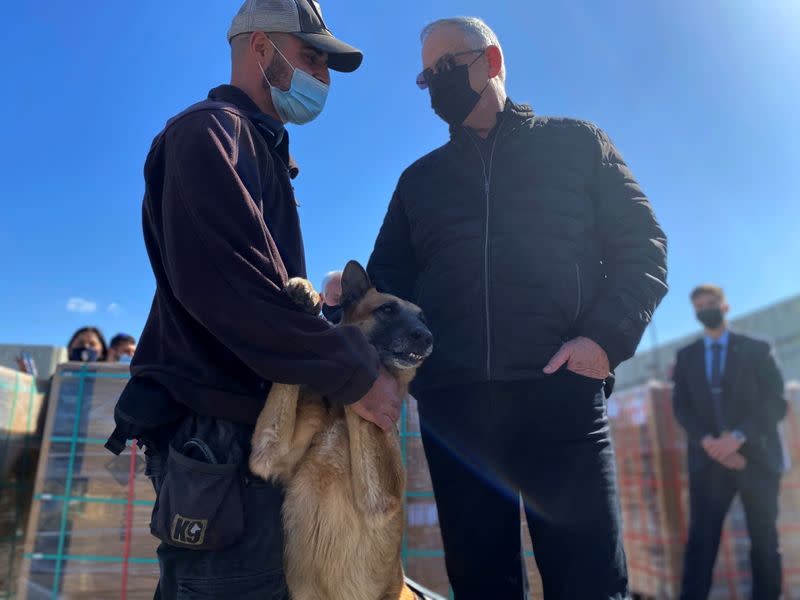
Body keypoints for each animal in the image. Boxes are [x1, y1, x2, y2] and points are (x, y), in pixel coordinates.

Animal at [253, 262, 434, 600]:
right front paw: (307, 294)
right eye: (387, 309)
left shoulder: (381, 498)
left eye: (423, 318)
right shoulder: (267, 452)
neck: (337, 415)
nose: (428, 337)